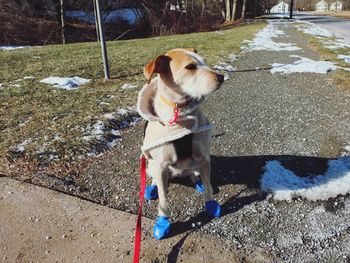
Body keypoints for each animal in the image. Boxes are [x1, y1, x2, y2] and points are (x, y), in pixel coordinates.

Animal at [137, 48, 224, 241]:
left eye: (204, 61)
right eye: (190, 67)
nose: (222, 76)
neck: (180, 113)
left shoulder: (204, 157)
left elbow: (208, 186)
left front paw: (210, 203)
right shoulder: (161, 164)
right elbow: (163, 200)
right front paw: (163, 221)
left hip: (195, 165)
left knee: (194, 174)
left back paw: (196, 181)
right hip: (151, 165)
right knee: (155, 178)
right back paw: (152, 187)